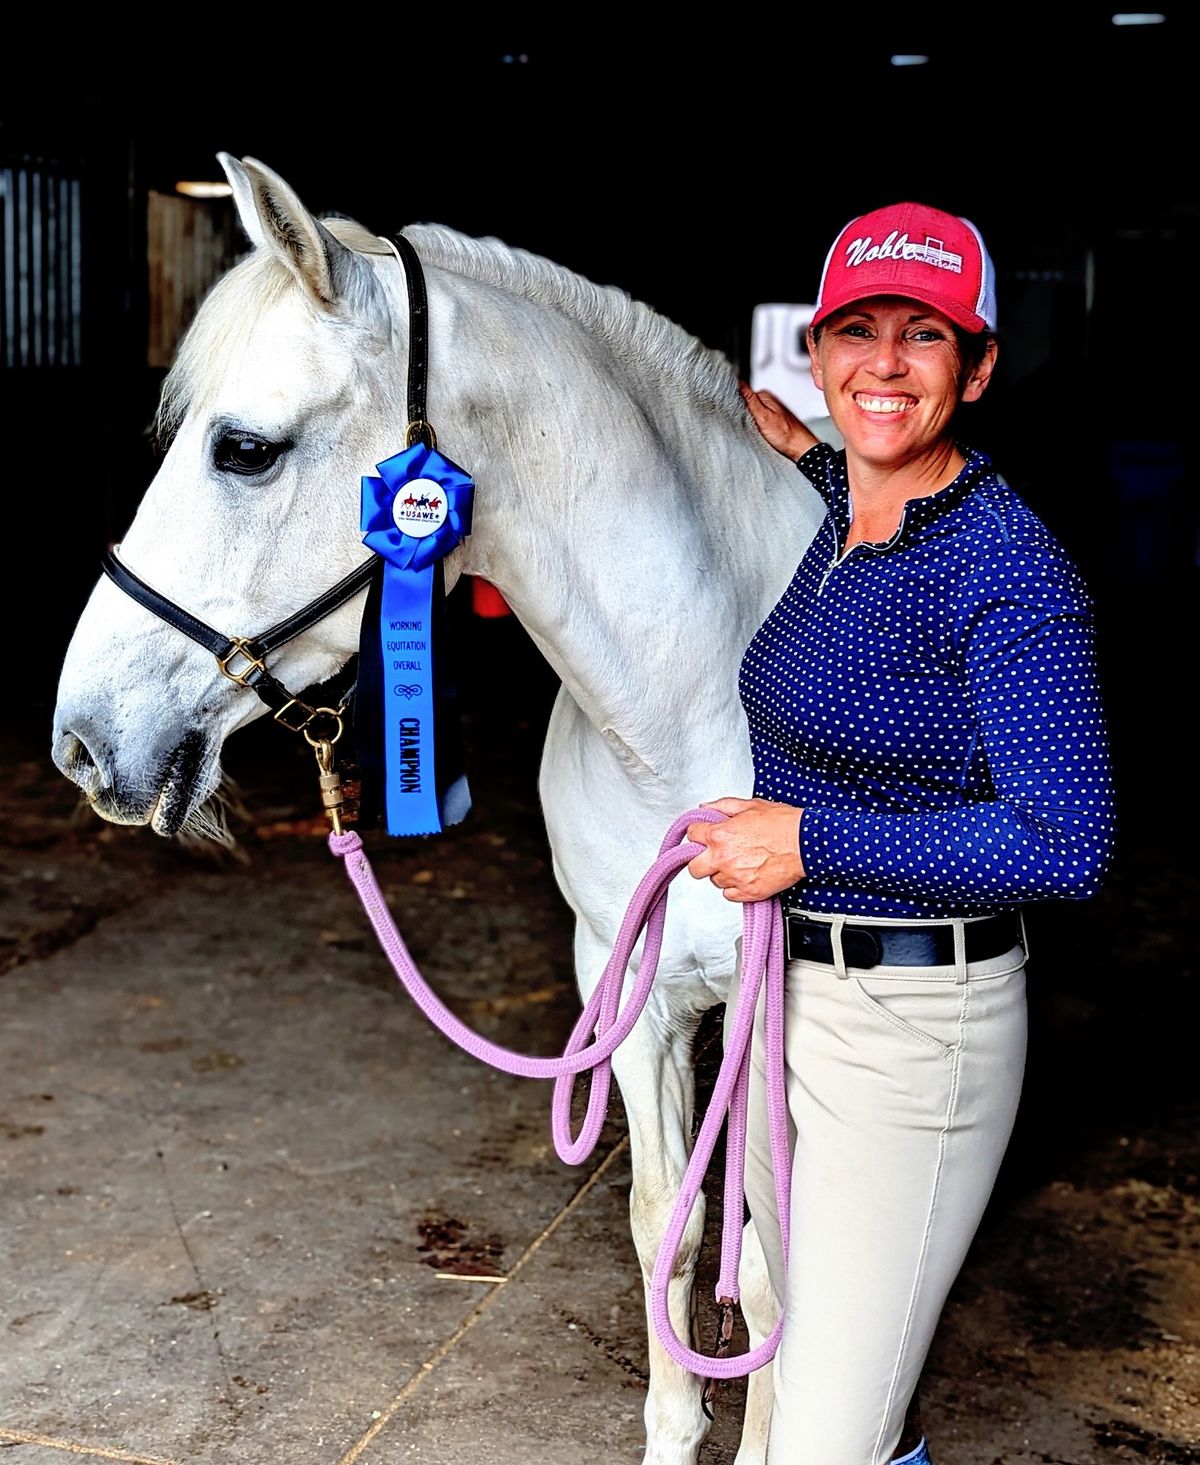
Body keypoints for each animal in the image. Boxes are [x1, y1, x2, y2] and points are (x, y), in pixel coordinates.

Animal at [51, 154, 832, 1459]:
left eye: (244, 448)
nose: (77, 741)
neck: (697, 697)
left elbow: (778, 1279)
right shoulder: (629, 989)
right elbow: (663, 1228)